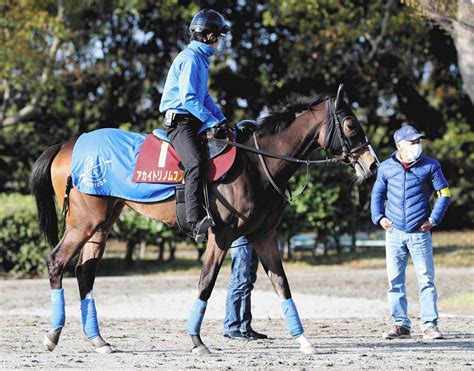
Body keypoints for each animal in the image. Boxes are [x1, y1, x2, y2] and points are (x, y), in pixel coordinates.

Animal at [30, 85, 378, 356]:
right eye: (350, 125)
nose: (372, 165)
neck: (257, 163)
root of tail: (68, 144)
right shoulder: (220, 237)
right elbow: (206, 282)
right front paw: (196, 340)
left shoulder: (264, 237)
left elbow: (282, 284)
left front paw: (304, 340)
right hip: (83, 224)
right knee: (56, 262)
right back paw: (52, 335)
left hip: (100, 226)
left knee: (85, 273)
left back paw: (98, 340)